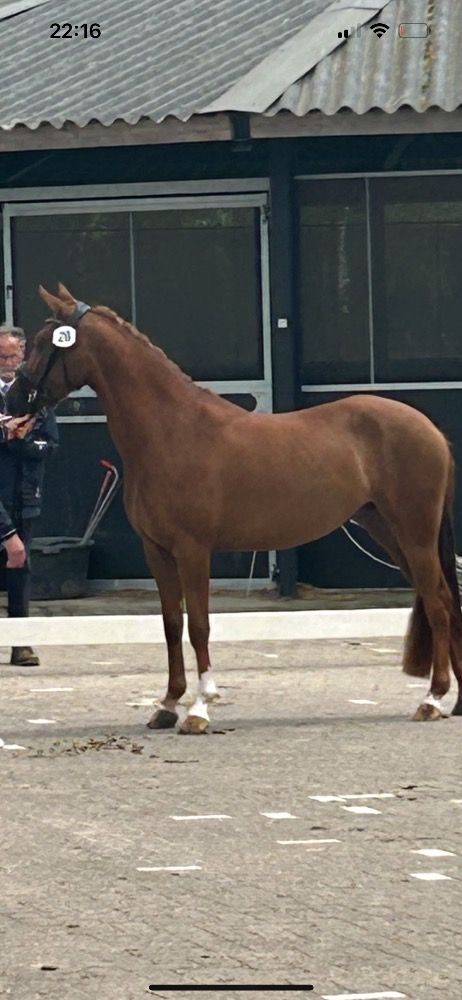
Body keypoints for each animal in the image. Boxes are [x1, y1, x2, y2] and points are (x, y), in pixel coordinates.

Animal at [6, 283, 462, 734]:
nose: (12, 401)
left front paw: (199, 709)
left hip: (414, 534)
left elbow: (199, 626)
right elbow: (172, 624)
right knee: (443, 599)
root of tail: (431, 429)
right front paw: (168, 704)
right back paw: (455, 703)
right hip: (388, 532)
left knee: (439, 603)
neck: (171, 431)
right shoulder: (157, 550)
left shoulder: (193, 550)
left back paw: (432, 699)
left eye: (46, 343)